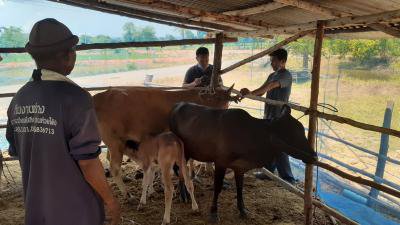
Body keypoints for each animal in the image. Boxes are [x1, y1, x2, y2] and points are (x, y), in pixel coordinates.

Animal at [92, 85, 233, 198]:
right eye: (215, 99)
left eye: (228, 101)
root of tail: (99, 97)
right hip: (115, 143)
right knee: (114, 168)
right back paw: (128, 194)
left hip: (115, 145)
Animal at [170, 103, 318, 222]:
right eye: (290, 134)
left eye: (302, 130)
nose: (314, 156)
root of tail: (178, 105)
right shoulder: (221, 162)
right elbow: (217, 187)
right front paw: (213, 213)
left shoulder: (240, 167)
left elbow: (240, 188)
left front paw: (242, 210)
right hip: (182, 152)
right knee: (180, 169)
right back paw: (183, 194)